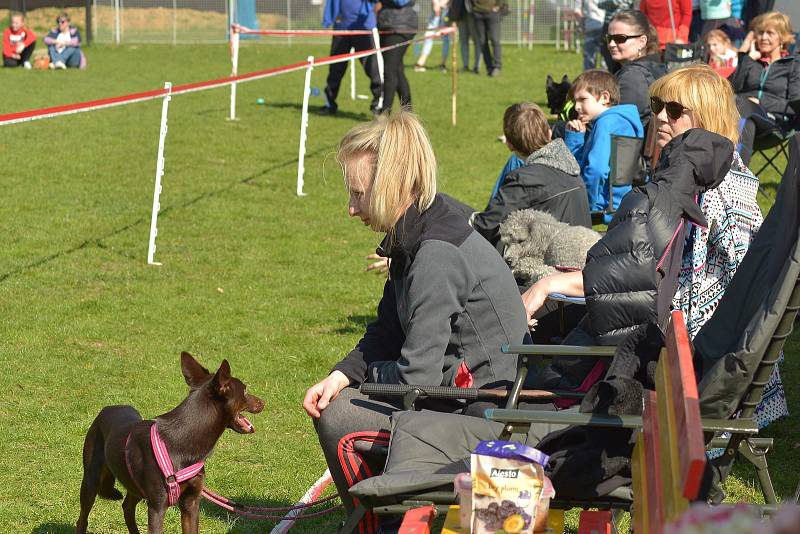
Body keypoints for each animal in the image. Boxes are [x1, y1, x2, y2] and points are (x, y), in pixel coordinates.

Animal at [75, 354, 264, 534]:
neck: (184, 441)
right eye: (245, 390)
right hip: (91, 479)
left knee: (127, 507)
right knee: (83, 518)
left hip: (134, 485)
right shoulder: (157, 507)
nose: (263, 402)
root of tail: (107, 408)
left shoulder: (191, 503)